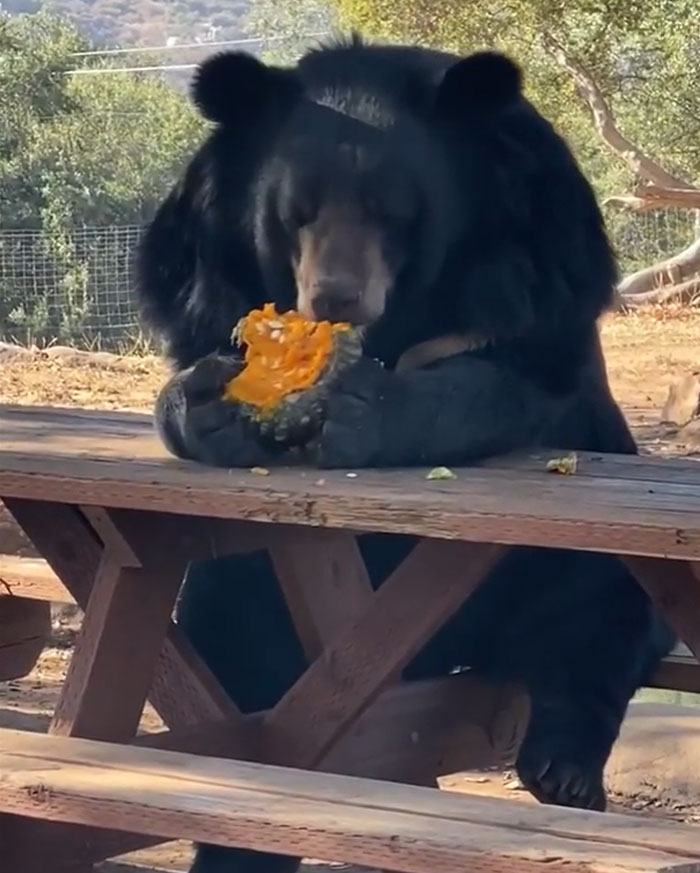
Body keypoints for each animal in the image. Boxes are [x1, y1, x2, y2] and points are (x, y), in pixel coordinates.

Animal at [136, 36, 675, 873]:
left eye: (396, 211)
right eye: (295, 211)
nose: (336, 297)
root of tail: (435, 654)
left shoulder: (541, 253)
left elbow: (504, 374)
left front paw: (359, 406)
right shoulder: (203, 263)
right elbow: (197, 351)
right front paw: (219, 403)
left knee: (599, 607)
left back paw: (565, 768)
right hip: (256, 591)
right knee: (232, 642)